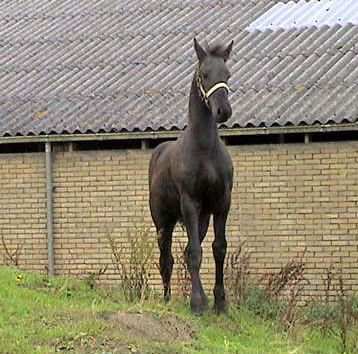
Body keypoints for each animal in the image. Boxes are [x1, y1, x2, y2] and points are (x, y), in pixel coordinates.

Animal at [148, 38, 232, 316]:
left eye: (227, 74)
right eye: (204, 75)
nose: (223, 111)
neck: (205, 148)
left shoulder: (222, 204)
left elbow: (218, 249)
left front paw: (219, 302)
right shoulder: (190, 204)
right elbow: (195, 252)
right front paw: (196, 303)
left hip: (201, 219)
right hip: (164, 222)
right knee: (167, 258)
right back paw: (167, 298)